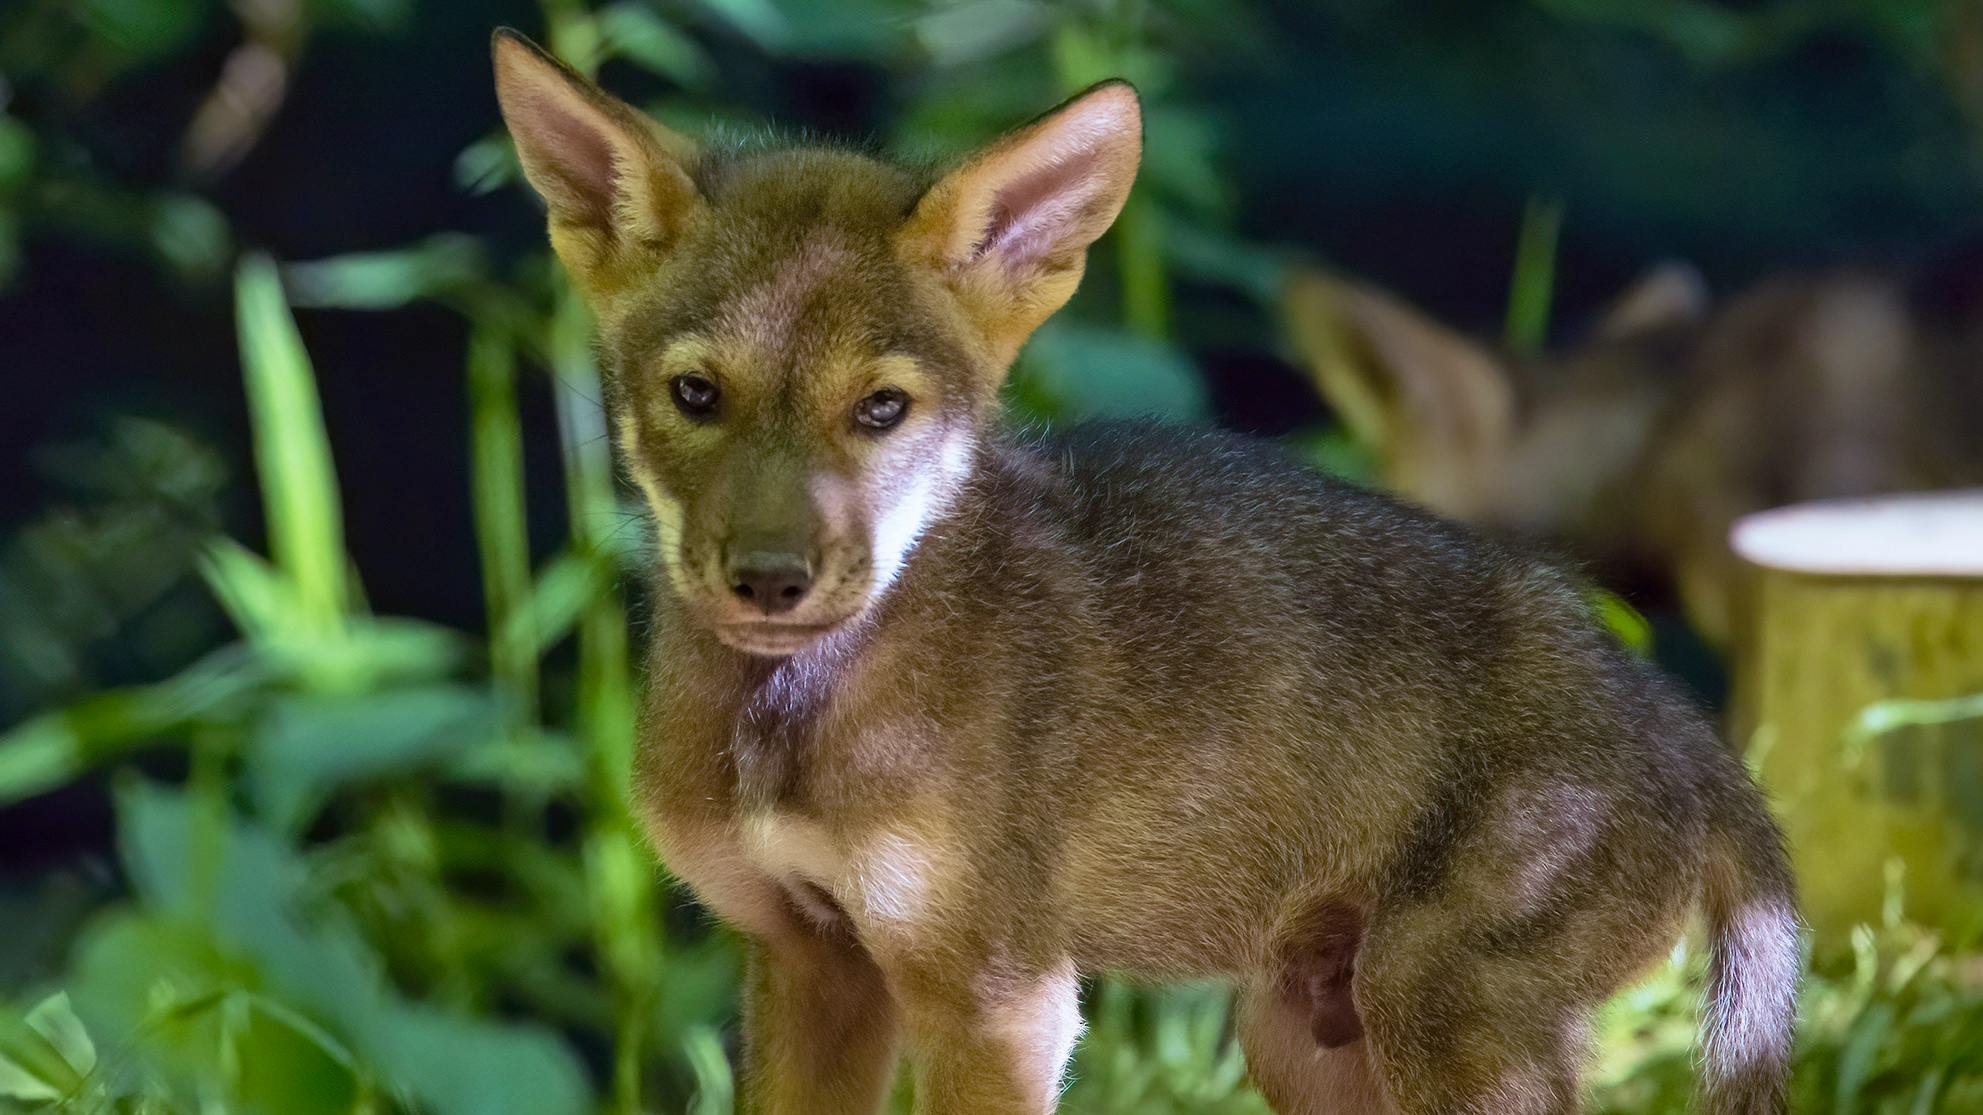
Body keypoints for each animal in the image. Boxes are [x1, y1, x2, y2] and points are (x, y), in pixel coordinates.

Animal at [491, 28, 1800, 1111]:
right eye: (695, 394)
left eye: (881, 409)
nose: (770, 579)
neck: (785, 729)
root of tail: (1689, 733)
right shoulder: (812, 959)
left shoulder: (1000, 994)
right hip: (1311, 1037)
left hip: (1441, 1021)